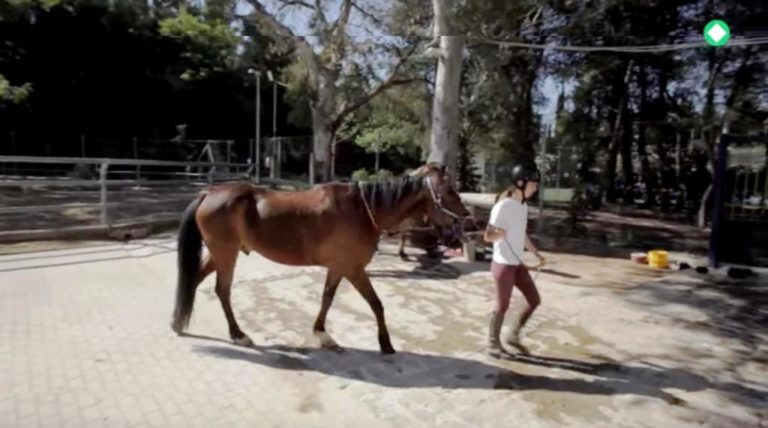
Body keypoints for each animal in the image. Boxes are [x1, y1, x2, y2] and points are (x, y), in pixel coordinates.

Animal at [171, 164, 468, 354]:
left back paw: (178, 323)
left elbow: (327, 298)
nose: (465, 223)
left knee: (193, 281)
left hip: (218, 253)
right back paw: (239, 335)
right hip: (226, 254)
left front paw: (322, 334)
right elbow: (376, 304)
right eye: (450, 191)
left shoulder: (338, 268)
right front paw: (386, 344)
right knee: (222, 290)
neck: (362, 210)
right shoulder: (353, 269)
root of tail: (208, 193)